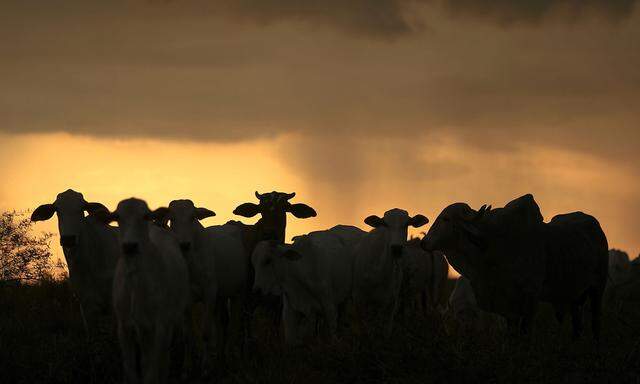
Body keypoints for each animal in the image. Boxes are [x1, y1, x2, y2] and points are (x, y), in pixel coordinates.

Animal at [96, 198, 189, 384]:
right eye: (117, 217)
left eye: (146, 216)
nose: (130, 246)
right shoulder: (124, 328)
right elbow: (131, 370)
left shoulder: (159, 325)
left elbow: (151, 372)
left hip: (172, 320)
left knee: (165, 358)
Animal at [158, 200, 250, 370]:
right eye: (171, 219)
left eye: (193, 217)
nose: (184, 244)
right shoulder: (187, 300)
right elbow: (188, 336)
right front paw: (187, 367)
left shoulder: (209, 293)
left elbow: (206, 332)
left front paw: (206, 366)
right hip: (220, 297)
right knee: (220, 324)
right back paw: (219, 355)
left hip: (238, 293)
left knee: (233, 325)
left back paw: (231, 356)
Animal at [352, 207, 428, 336]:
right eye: (385, 224)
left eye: (407, 224)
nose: (396, 248)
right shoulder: (359, 298)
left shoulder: (391, 304)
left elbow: (386, 332)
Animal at [422, 195, 608, 342]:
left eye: (446, 219)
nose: (424, 242)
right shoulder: (507, 305)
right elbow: (512, 332)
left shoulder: (531, 295)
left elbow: (525, 330)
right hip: (573, 296)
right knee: (577, 325)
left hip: (598, 288)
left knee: (596, 321)